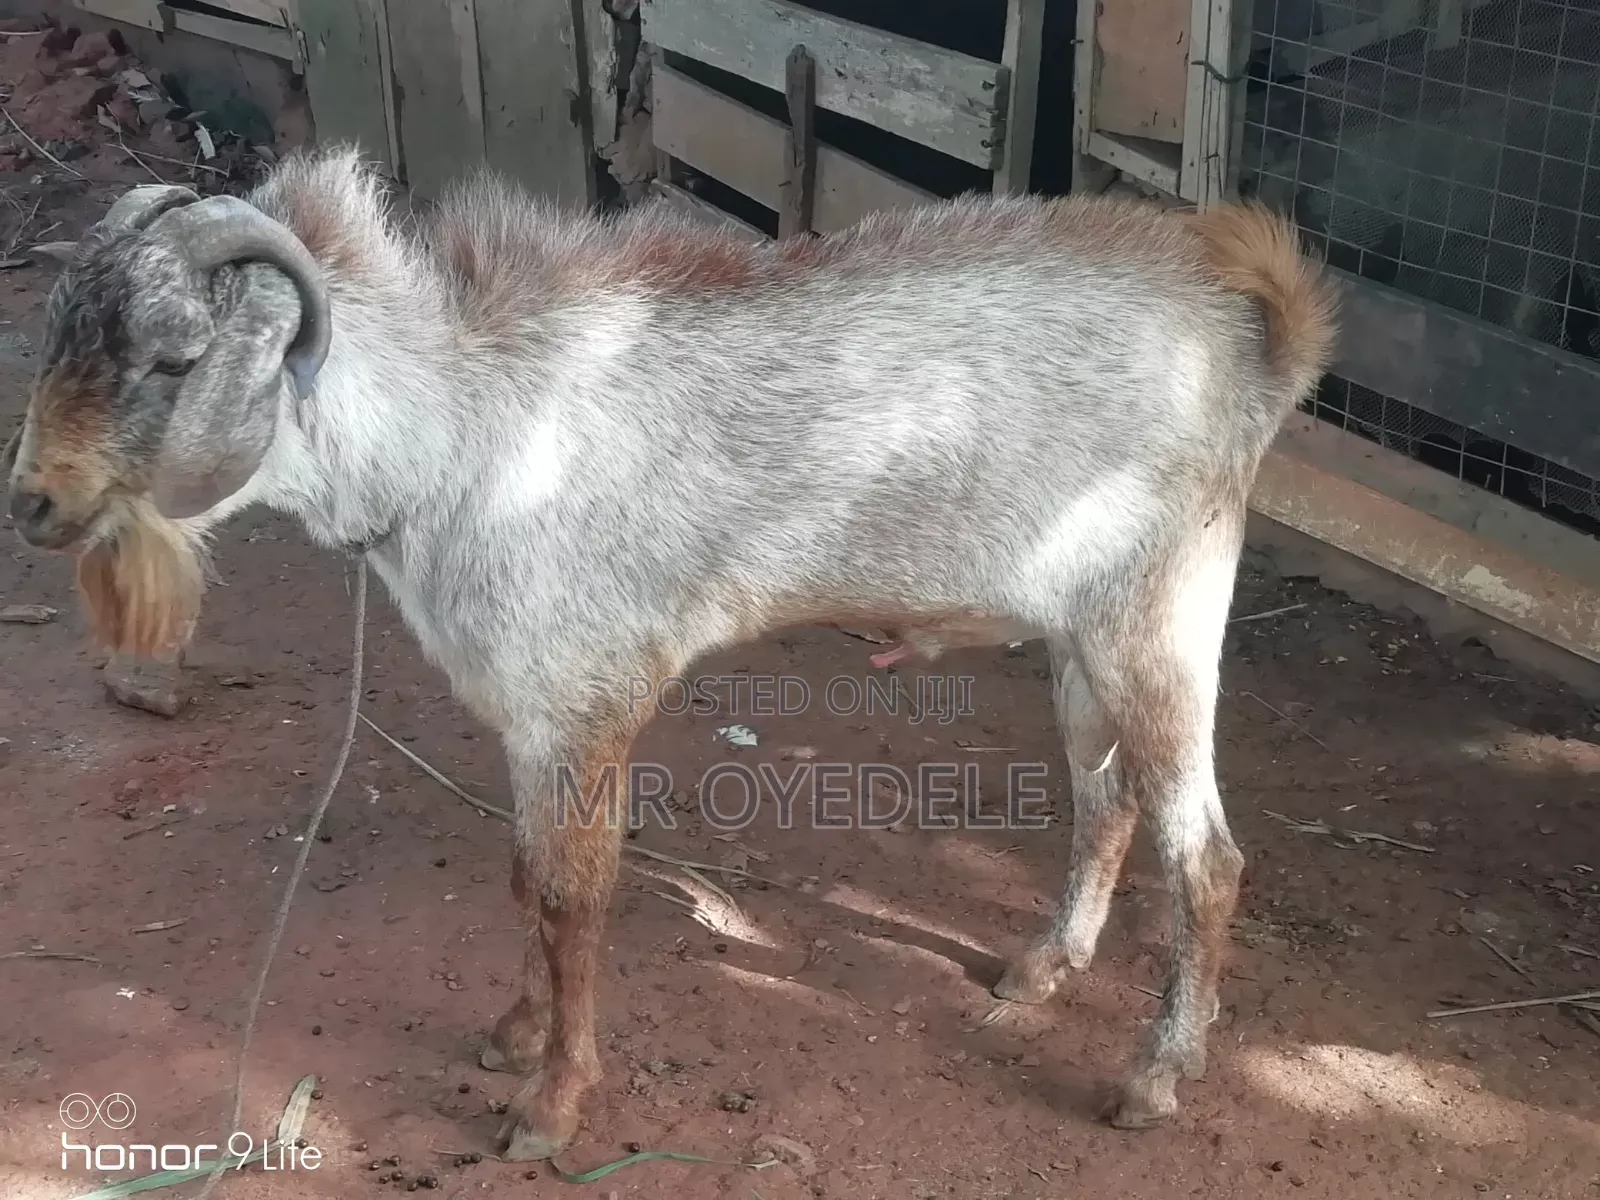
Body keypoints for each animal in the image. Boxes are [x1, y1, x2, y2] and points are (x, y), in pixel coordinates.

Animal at [6, 146, 1336, 1158]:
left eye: (176, 355)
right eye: (63, 330)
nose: (32, 502)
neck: (467, 438)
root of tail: (1251, 331)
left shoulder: (587, 699)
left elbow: (572, 896)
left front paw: (550, 1106)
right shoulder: (528, 716)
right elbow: (521, 879)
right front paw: (513, 1033)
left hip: (1160, 619)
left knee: (1208, 859)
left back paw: (1155, 1078)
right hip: (1079, 634)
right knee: (1104, 802)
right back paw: (1042, 969)